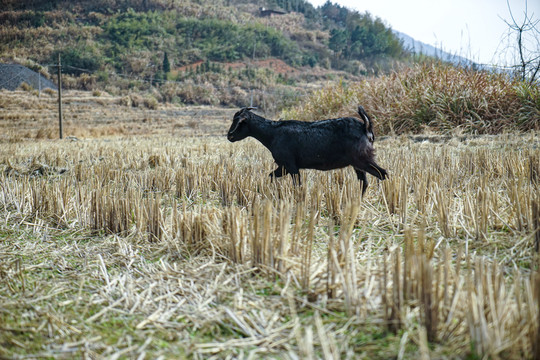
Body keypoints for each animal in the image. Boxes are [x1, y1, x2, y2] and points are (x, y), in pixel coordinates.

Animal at [226, 106, 386, 194]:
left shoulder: (290, 165)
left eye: (239, 121)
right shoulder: (283, 166)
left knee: (382, 174)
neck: (273, 133)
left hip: (362, 159)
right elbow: (271, 176)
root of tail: (365, 127)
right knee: (364, 182)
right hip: (357, 163)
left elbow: (298, 185)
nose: (229, 136)